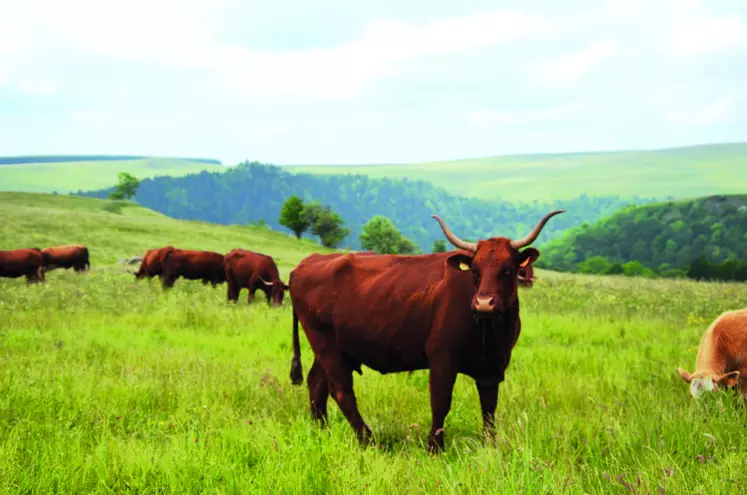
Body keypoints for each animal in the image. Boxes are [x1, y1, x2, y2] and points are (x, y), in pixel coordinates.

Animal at [290, 209, 564, 454]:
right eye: (475, 271)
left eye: (507, 269)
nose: (484, 303)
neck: (490, 333)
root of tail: (307, 262)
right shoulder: (442, 359)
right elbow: (440, 403)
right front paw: (435, 448)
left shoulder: (494, 366)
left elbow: (489, 407)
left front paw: (490, 446)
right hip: (325, 343)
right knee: (341, 390)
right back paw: (369, 440)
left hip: (333, 347)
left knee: (317, 383)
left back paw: (321, 431)